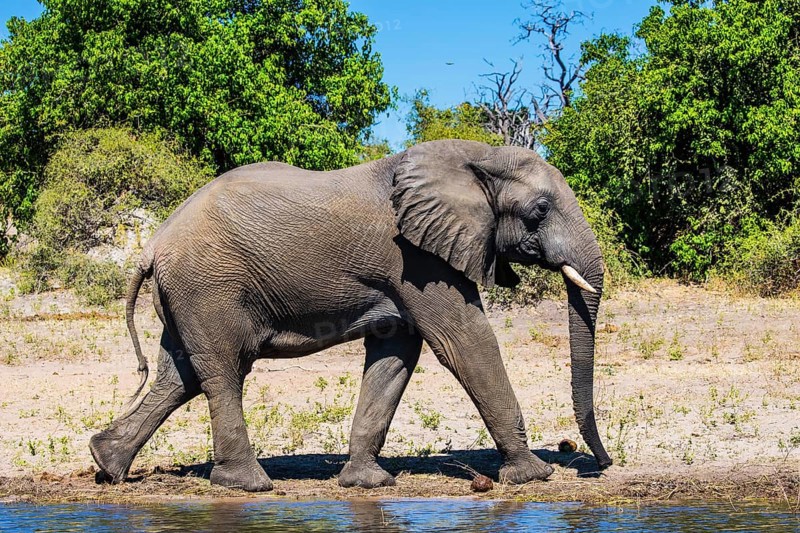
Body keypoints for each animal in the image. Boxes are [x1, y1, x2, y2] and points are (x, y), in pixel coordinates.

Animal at [89, 139, 612, 492]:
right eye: (539, 210)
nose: (601, 464)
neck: (477, 155)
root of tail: (152, 245)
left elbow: (396, 353)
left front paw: (366, 483)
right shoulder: (417, 259)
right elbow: (465, 342)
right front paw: (533, 476)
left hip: (187, 294)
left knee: (179, 376)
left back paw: (107, 464)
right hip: (208, 286)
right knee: (222, 370)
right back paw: (248, 485)